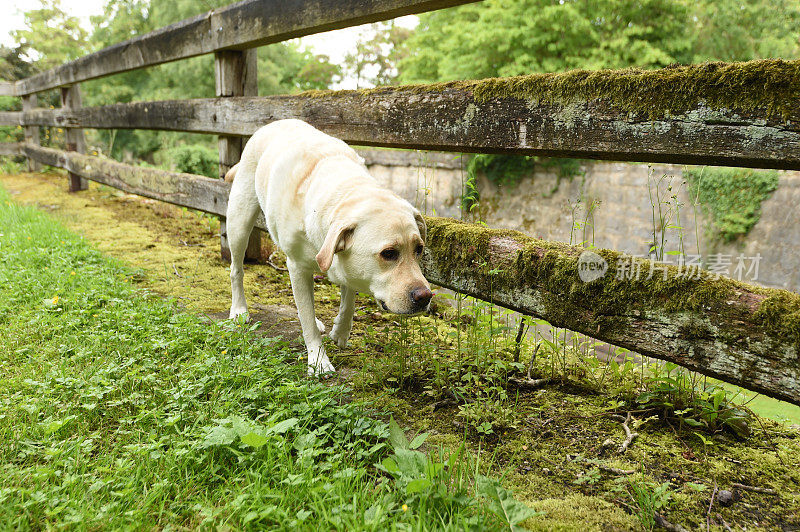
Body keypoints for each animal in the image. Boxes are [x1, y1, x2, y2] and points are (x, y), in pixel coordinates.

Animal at [225, 119, 432, 374]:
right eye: (389, 253)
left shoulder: (344, 264)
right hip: (239, 220)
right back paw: (239, 309)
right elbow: (307, 320)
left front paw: (340, 331)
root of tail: (273, 123)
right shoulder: (297, 266)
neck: (344, 190)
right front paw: (319, 360)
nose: (426, 296)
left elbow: (348, 298)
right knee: (236, 269)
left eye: (419, 249)